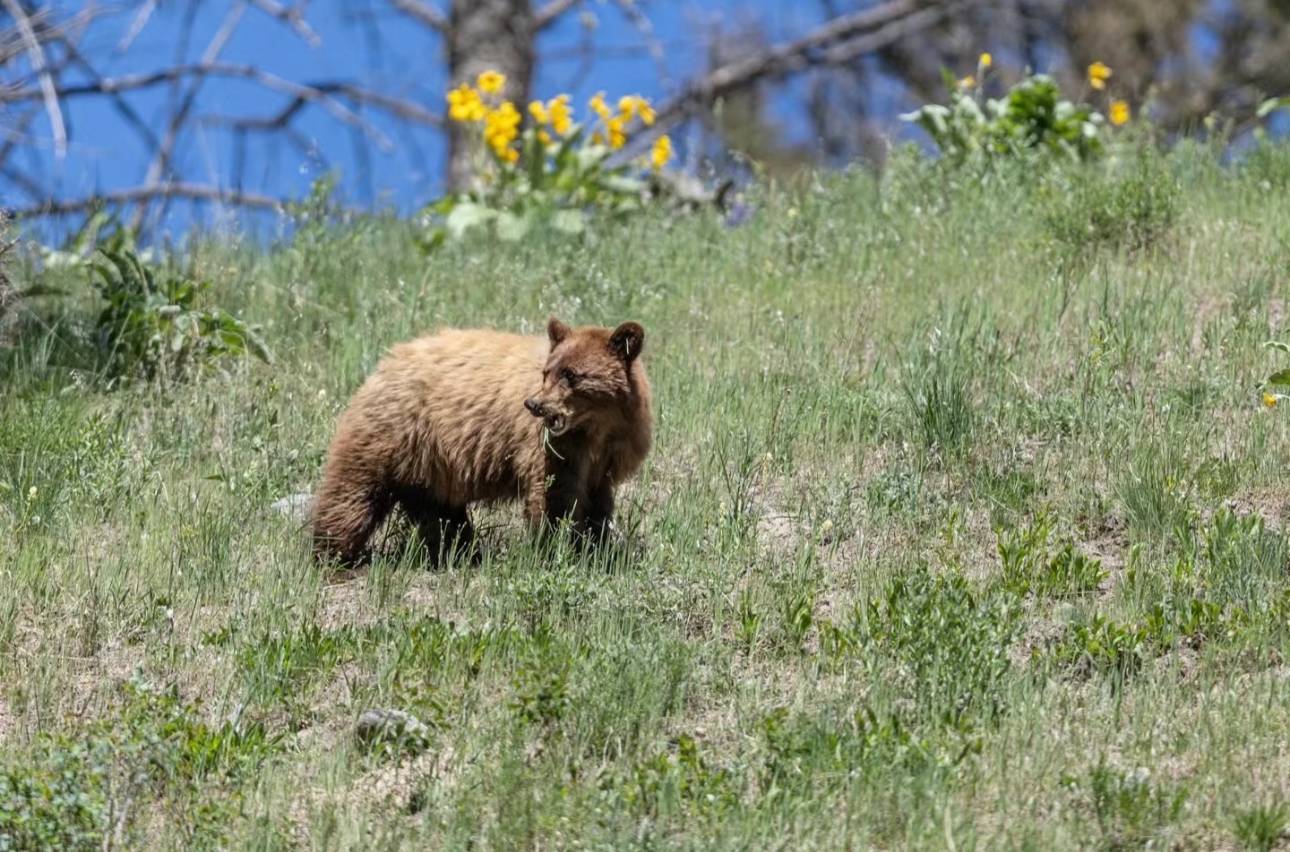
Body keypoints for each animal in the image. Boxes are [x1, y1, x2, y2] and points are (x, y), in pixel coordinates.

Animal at [311, 317, 652, 566]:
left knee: (438, 513)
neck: (597, 427)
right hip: (391, 434)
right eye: (548, 372)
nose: (534, 405)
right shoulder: (551, 450)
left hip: (429, 465)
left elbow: (598, 502)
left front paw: (600, 546)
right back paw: (332, 555)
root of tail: (384, 363)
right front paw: (559, 548)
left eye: (571, 374)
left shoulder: (607, 455)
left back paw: (460, 551)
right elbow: (555, 496)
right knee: (353, 494)